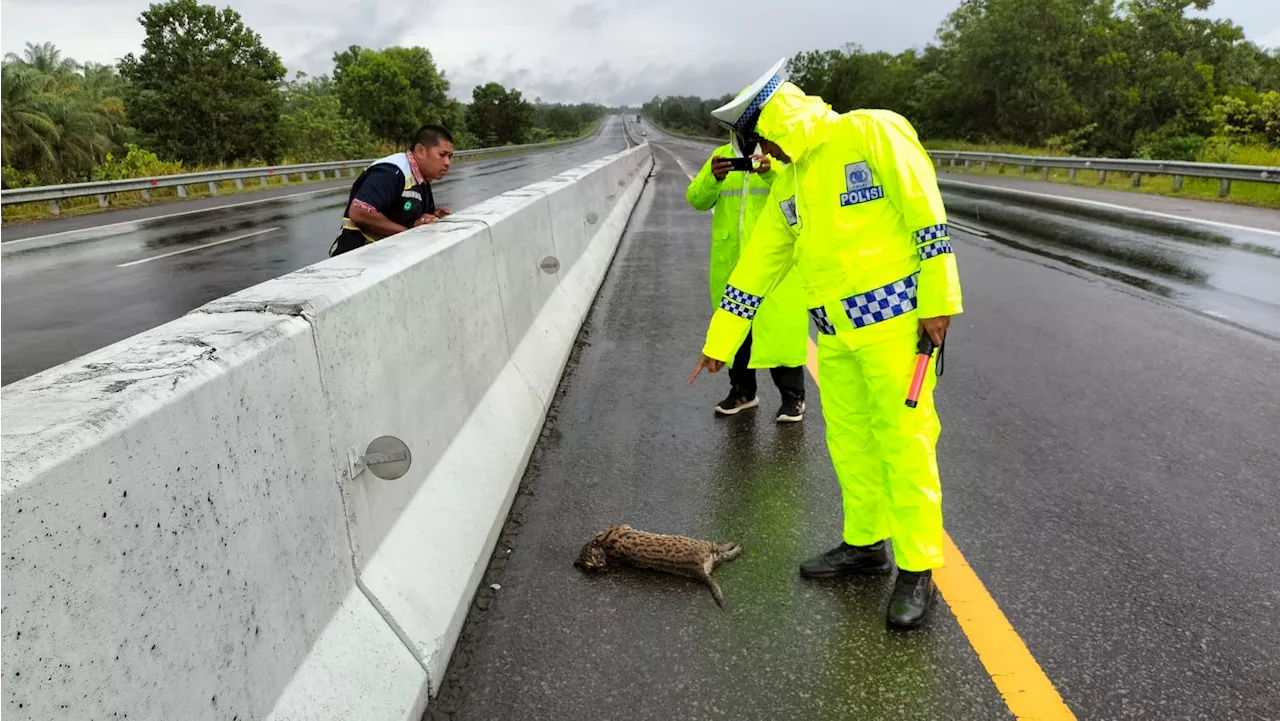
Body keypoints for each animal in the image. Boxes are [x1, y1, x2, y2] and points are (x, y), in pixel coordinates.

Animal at [576, 525, 747, 609]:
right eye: (593, 566)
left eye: (597, 559)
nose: (601, 565)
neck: (606, 549)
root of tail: (697, 569)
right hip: (704, 545)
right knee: (723, 551)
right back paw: (737, 546)